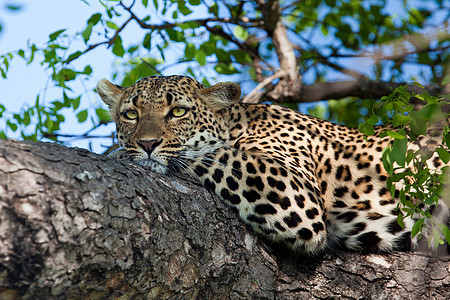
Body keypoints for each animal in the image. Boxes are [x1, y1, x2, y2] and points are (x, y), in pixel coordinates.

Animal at [96, 74, 448, 253]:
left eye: (178, 112)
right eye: (131, 114)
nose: (146, 144)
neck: (239, 124)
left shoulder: (296, 192)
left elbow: (211, 153)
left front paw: (118, 154)